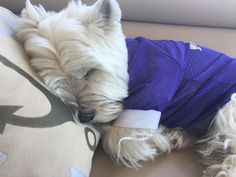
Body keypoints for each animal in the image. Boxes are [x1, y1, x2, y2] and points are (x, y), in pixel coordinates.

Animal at [16, 0, 236, 176]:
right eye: (59, 82)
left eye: (88, 72)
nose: (85, 117)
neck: (132, 62)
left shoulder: (155, 86)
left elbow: (118, 137)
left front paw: (158, 139)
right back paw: (181, 136)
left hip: (229, 106)